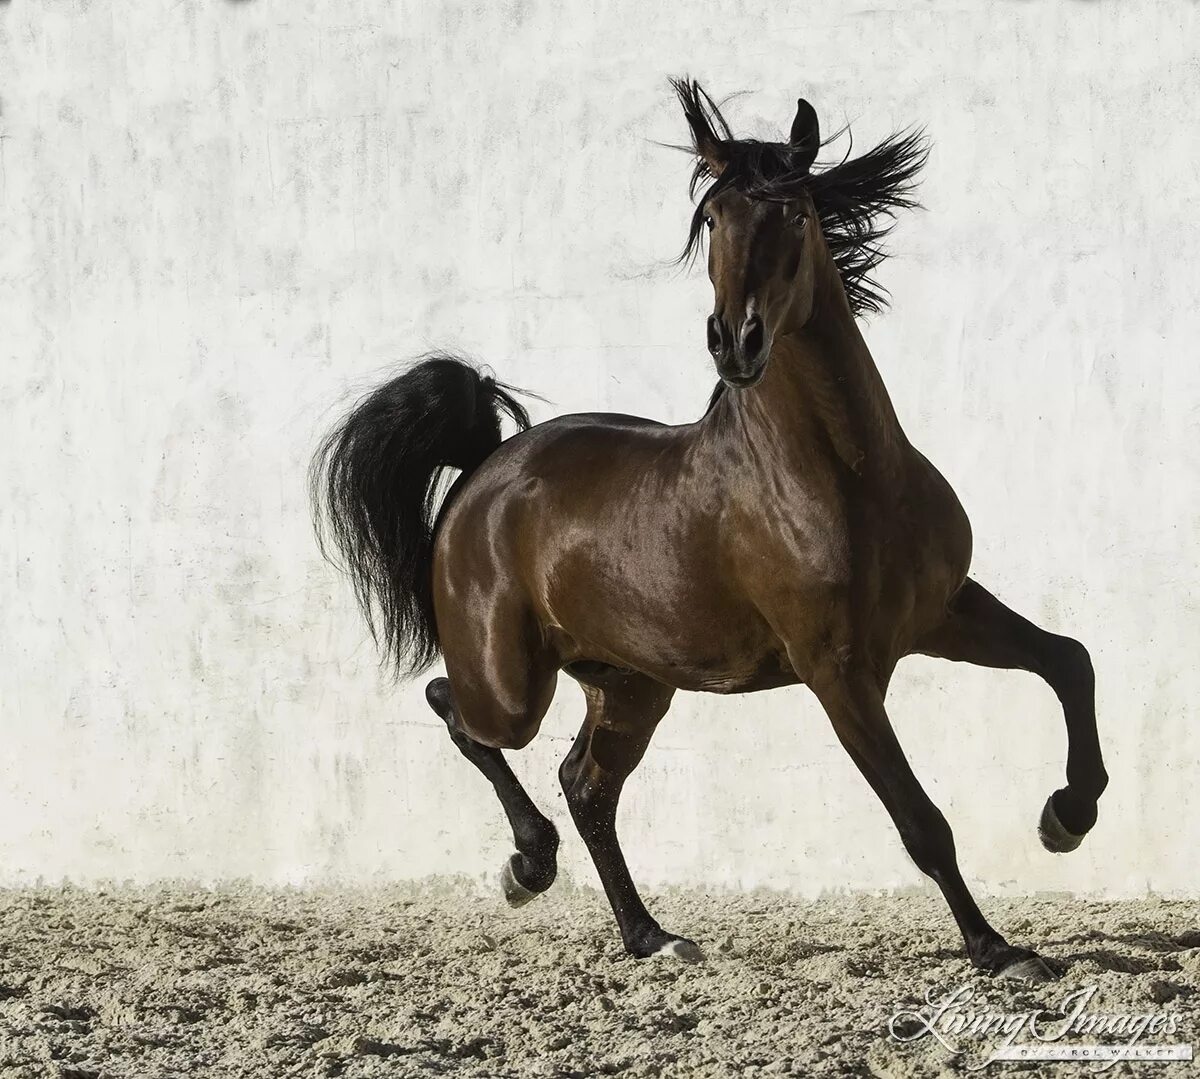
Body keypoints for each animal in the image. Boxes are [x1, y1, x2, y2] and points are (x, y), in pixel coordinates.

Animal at [309, 80, 1104, 984]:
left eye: (793, 210)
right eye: (714, 217)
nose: (736, 340)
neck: (848, 477)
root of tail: (483, 474)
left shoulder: (940, 612)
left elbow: (1068, 660)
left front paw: (1066, 817)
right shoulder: (838, 670)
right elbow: (920, 820)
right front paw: (998, 949)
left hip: (631, 684)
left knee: (585, 784)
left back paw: (649, 933)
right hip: (514, 685)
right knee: (458, 709)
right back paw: (528, 864)